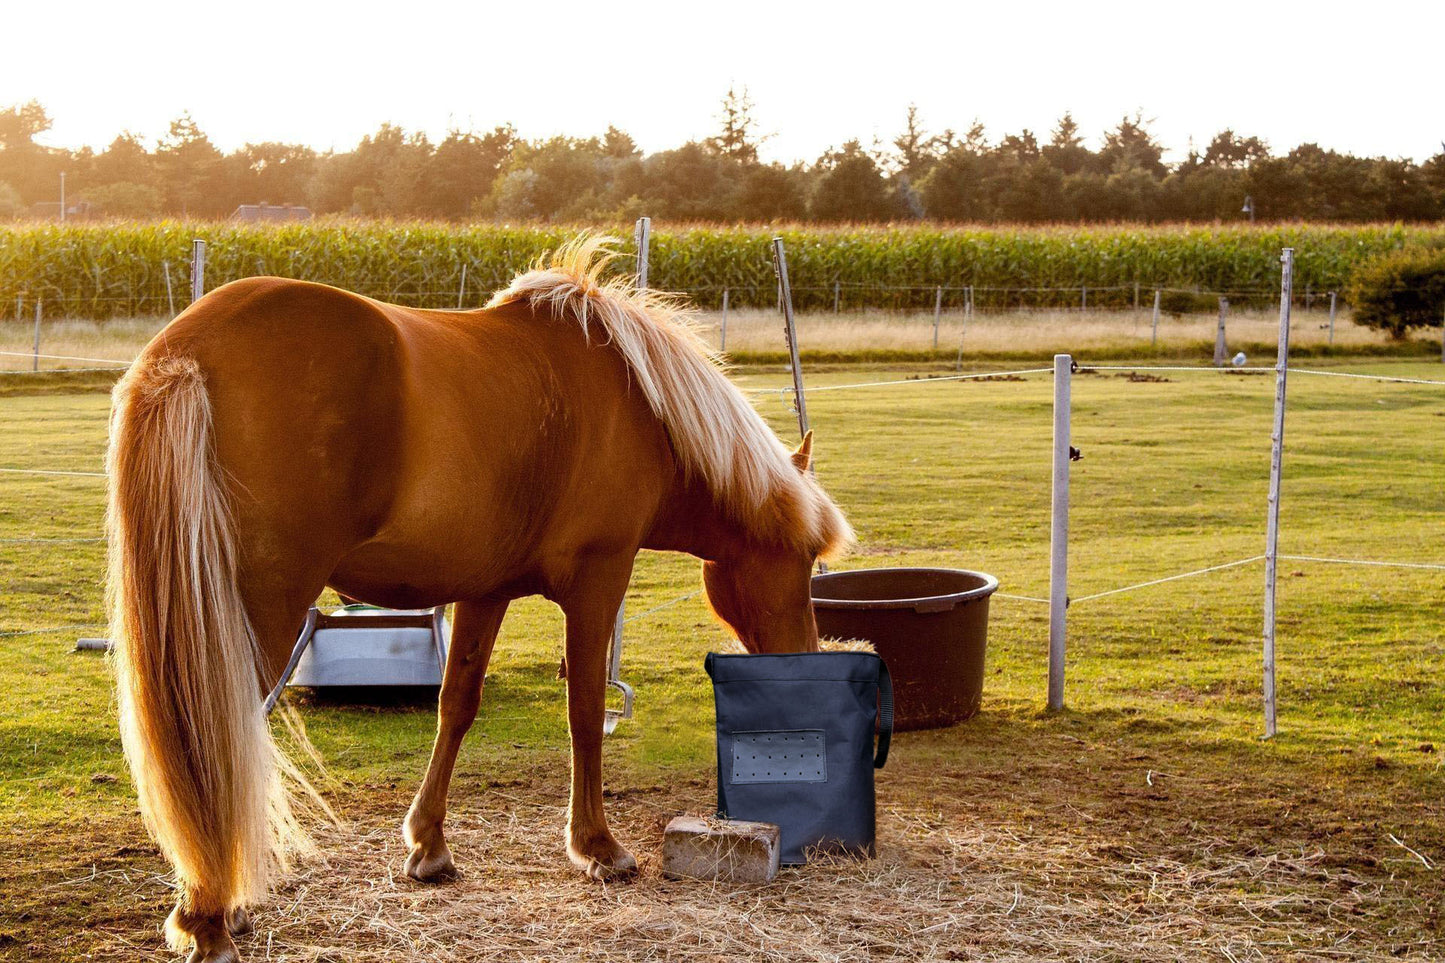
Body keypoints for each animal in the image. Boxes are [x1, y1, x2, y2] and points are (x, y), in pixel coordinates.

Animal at [106, 235, 849, 954]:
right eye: (808, 558)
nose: (806, 658)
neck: (637, 403)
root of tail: (184, 350)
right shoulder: (598, 581)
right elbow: (585, 710)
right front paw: (597, 846)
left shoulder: (485, 592)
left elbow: (456, 705)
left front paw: (429, 846)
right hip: (257, 612)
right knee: (217, 736)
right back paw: (209, 917)